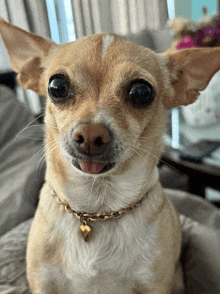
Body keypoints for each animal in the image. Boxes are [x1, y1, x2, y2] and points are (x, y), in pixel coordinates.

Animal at [1, 17, 220, 292]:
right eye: (57, 87)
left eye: (141, 92)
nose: (90, 135)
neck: (97, 210)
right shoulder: (43, 283)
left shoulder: (155, 284)